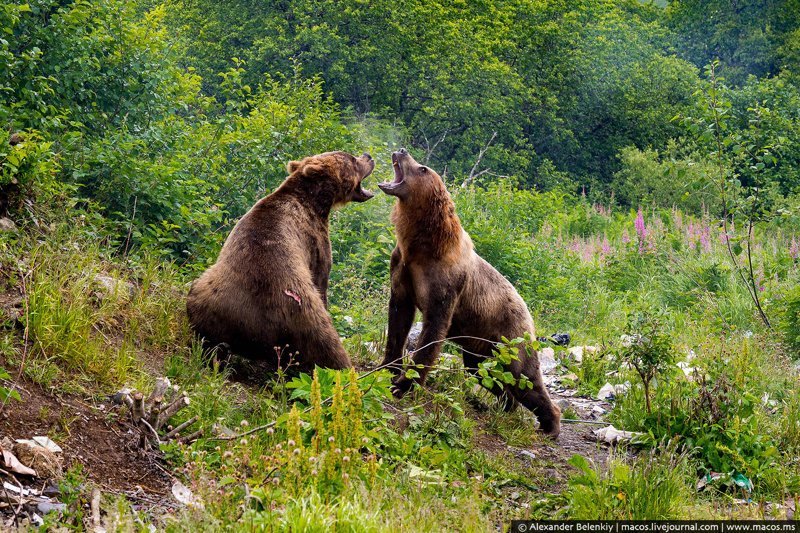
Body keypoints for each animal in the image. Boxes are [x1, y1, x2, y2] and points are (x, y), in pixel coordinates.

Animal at [187, 151, 376, 370]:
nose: (368, 156)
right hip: (307, 316)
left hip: (206, 301)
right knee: (328, 348)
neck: (314, 200)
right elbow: (322, 277)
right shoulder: (316, 241)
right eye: (352, 159)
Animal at [378, 148, 560, 434]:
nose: (402, 150)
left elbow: (433, 329)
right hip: (480, 346)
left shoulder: (445, 282)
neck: (421, 244)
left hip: (511, 336)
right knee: (487, 375)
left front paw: (404, 384)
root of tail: (527, 311)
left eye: (423, 168)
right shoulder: (402, 267)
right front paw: (388, 367)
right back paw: (498, 405)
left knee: (524, 377)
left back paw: (549, 425)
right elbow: (398, 318)